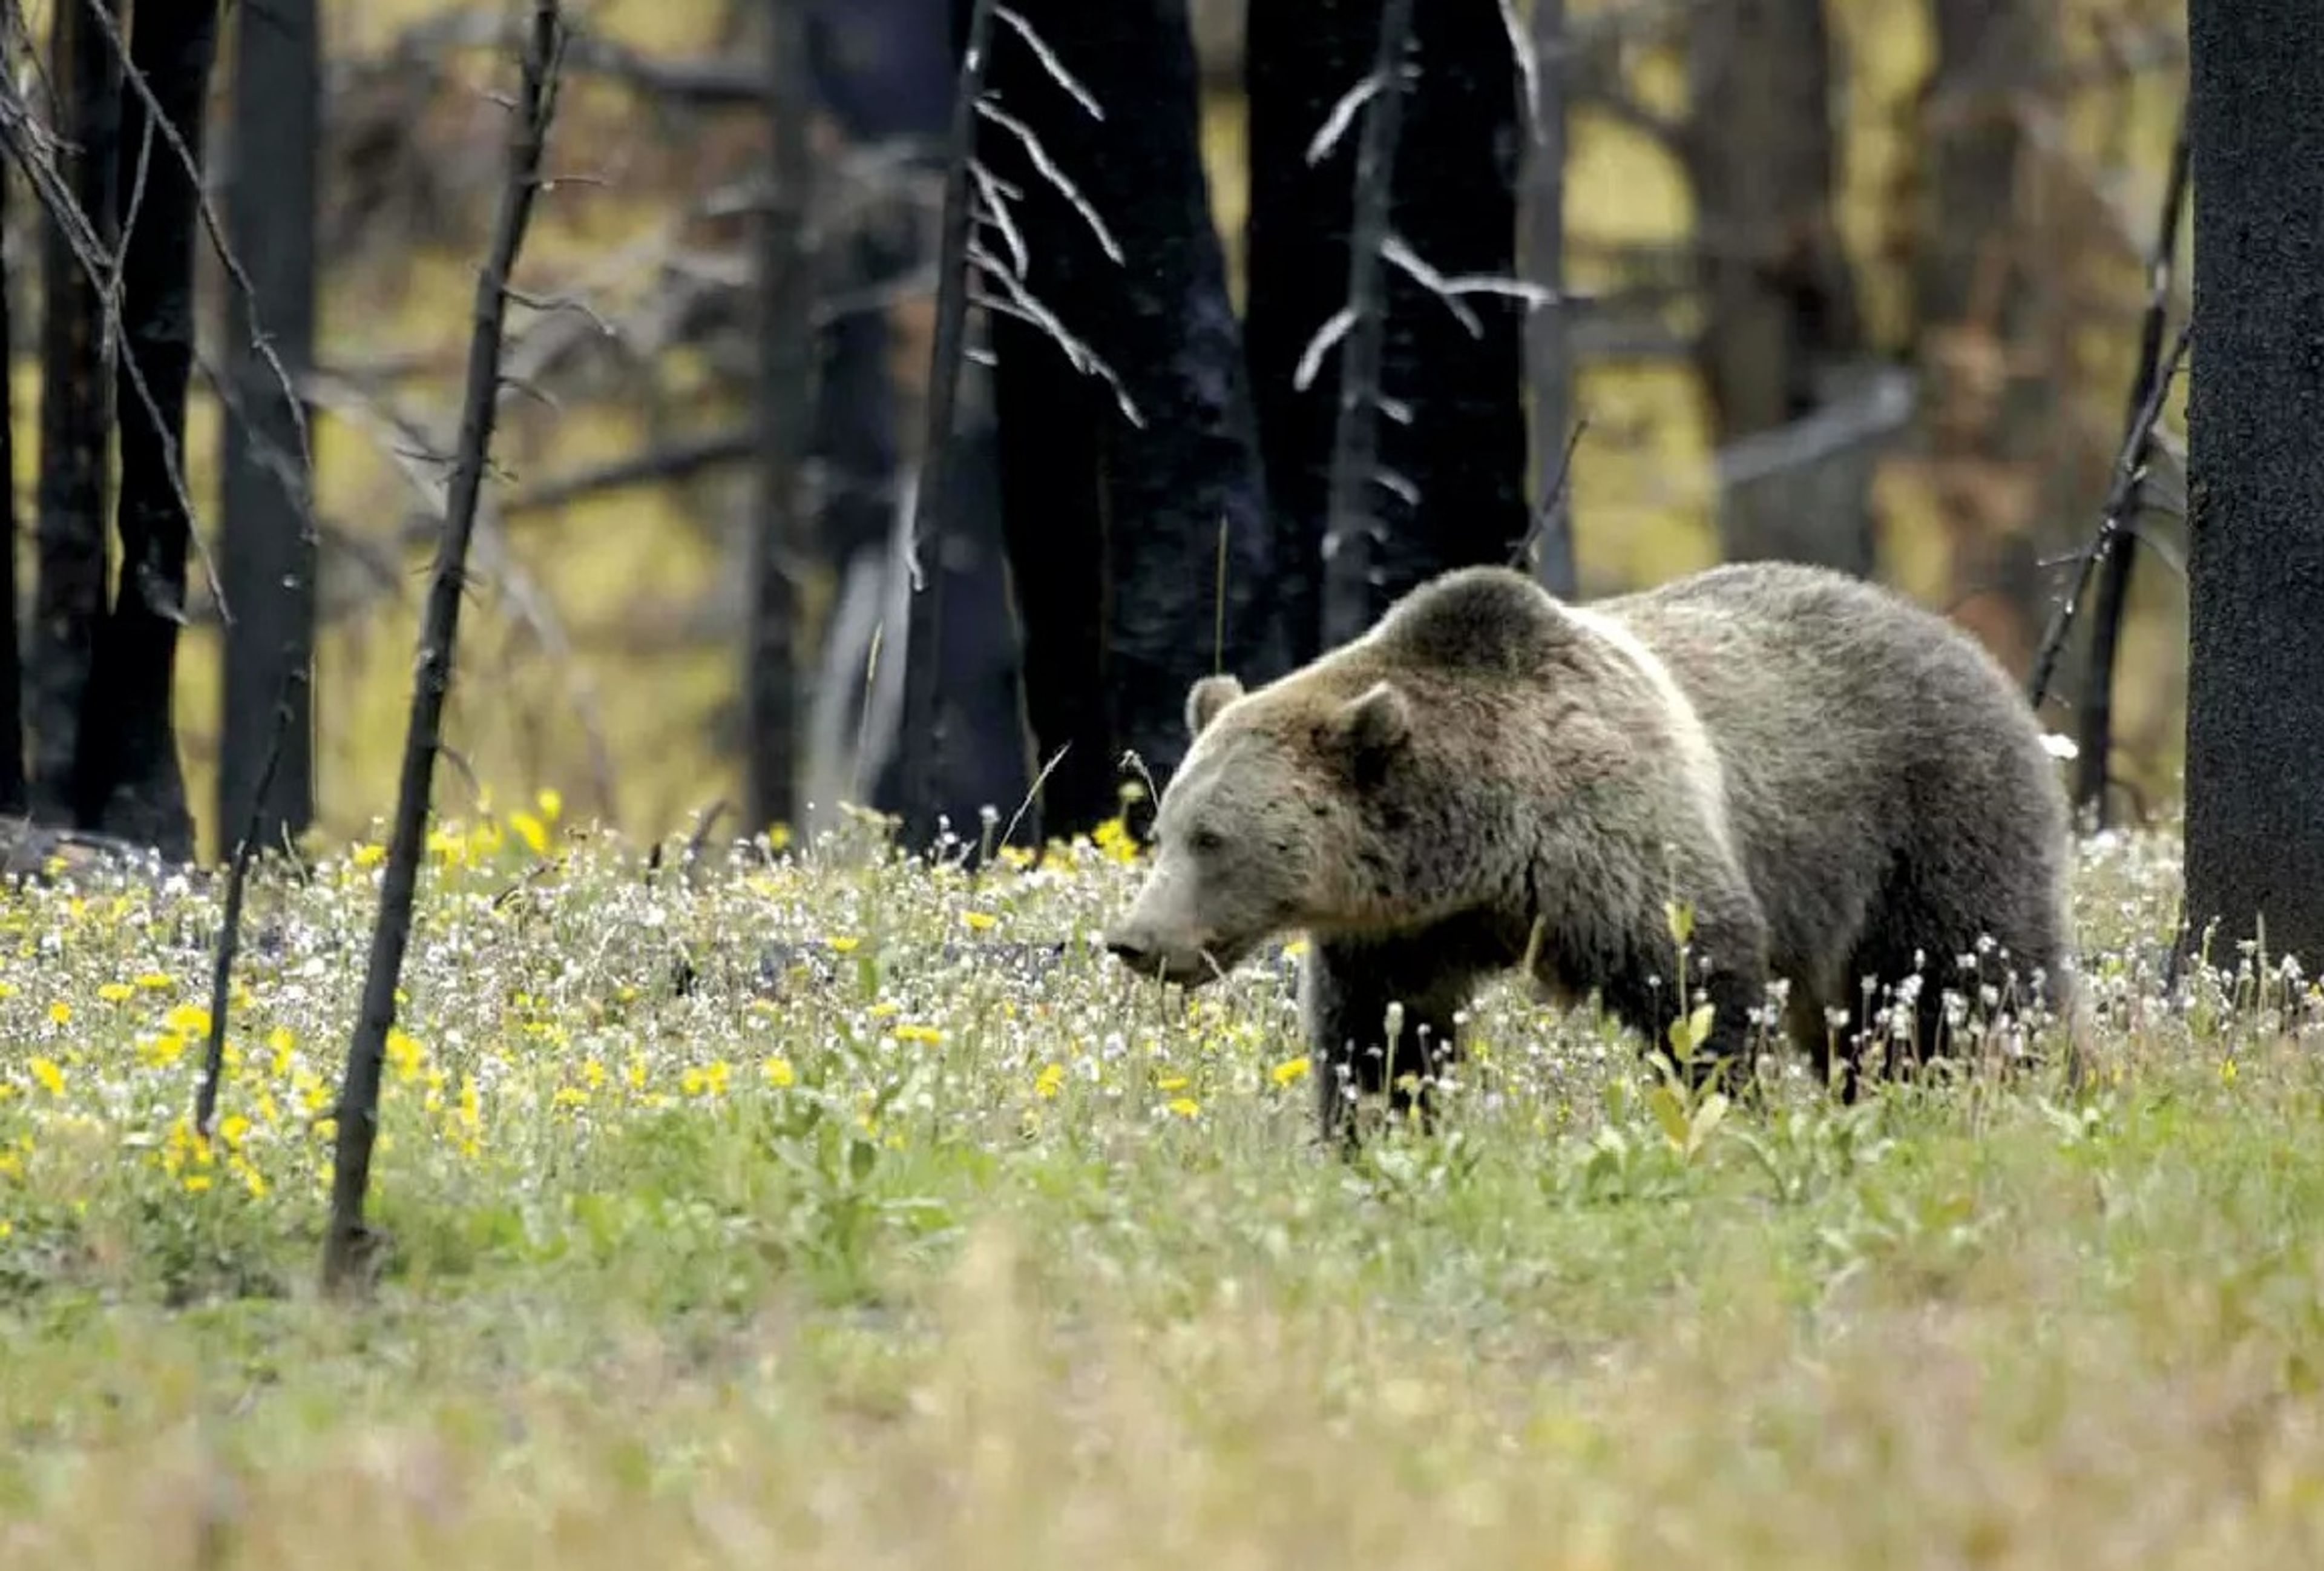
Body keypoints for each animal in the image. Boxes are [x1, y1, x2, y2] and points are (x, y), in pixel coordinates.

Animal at [1102, 559, 2079, 1142]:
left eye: (1212, 838)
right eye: (1165, 827)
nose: (1135, 940)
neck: (1483, 840)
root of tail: (1966, 643)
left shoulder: (1613, 843)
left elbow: (1697, 984)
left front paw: (1727, 1112)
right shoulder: (1406, 929)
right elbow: (1381, 1036)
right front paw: (1376, 1132)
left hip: (1929, 818)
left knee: (1973, 983)